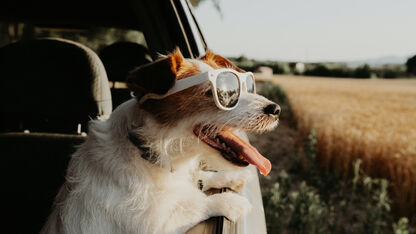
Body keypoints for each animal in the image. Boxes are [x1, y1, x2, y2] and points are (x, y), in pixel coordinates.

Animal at [40, 49, 282, 234]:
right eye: (217, 93)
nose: (276, 109)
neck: (145, 150)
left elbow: (198, 180)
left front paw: (230, 177)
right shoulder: (153, 225)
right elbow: (192, 205)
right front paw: (229, 202)